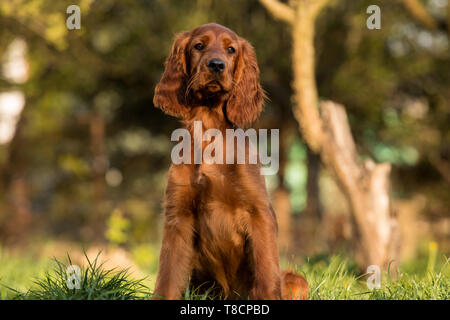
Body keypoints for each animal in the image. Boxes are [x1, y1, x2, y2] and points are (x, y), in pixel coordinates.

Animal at [153, 23, 308, 300]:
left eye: (231, 49)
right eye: (199, 45)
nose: (216, 65)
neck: (209, 133)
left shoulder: (259, 212)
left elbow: (266, 275)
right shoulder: (177, 215)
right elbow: (167, 278)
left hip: (296, 280)